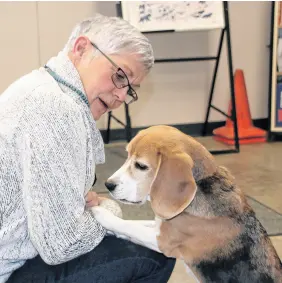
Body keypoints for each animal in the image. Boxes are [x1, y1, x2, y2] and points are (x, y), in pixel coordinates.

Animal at [91, 125, 280, 282]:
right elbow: (133, 223)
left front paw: (101, 214)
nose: (108, 185)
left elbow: (129, 227)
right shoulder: (162, 225)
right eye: (127, 155)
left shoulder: (163, 240)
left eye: (141, 166)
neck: (202, 184)